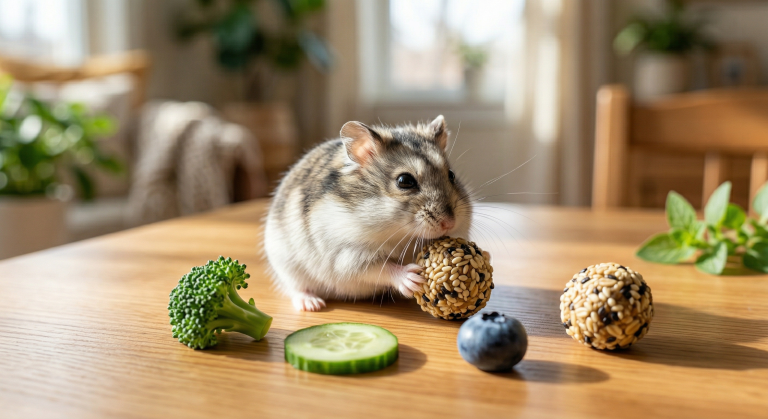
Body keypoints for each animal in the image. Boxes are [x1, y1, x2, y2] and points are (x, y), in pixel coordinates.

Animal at [264, 115, 473, 311]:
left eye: (452, 175)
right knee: (295, 288)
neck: (399, 233)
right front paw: (412, 278)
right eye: (404, 181)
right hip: (286, 265)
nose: (449, 223)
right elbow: (381, 268)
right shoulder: (347, 254)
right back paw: (312, 304)